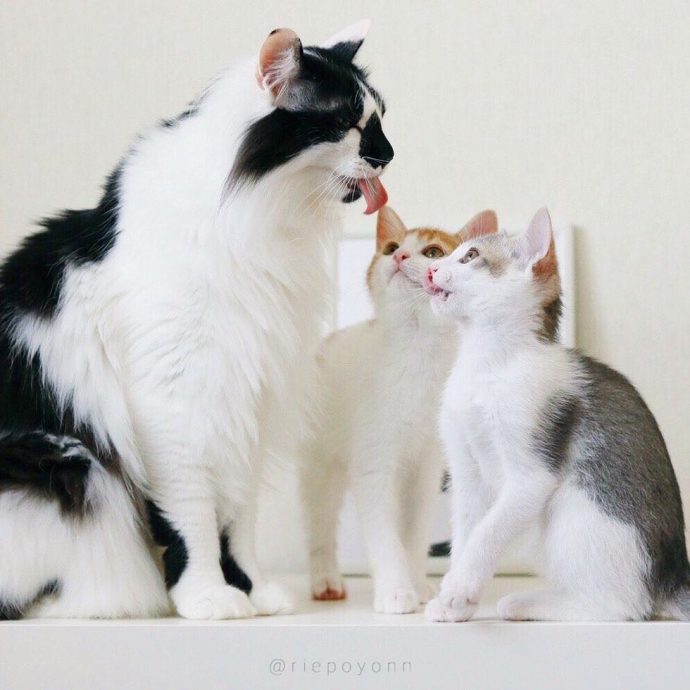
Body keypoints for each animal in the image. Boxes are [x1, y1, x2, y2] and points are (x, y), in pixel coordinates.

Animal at [0, 20, 393, 620]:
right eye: (346, 123)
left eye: (381, 118)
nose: (389, 155)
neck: (257, 220)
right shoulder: (175, 404)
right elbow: (193, 519)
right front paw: (206, 596)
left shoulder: (248, 398)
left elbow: (240, 520)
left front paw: (252, 590)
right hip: (66, 462)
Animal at [301, 206, 498, 613]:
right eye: (391, 247)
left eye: (434, 252)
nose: (400, 256)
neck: (416, 351)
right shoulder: (375, 466)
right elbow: (385, 537)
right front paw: (395, 590)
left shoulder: (425, 470)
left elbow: (415, 534)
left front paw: (419, 584)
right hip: (320, 466)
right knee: (320, 527)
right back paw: (325, 580)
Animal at [424, 208, 690, 621]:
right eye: (447, 254)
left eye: (469, 257)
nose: (431, 270)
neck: (488, 363)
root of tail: (673, 576)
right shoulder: (466, 473)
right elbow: (467, 531)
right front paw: (455, 601)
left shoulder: (531, 474)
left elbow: (488, 531)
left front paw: (459, 588)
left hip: (576, 506)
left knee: (623, 607)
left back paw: (527, 602)